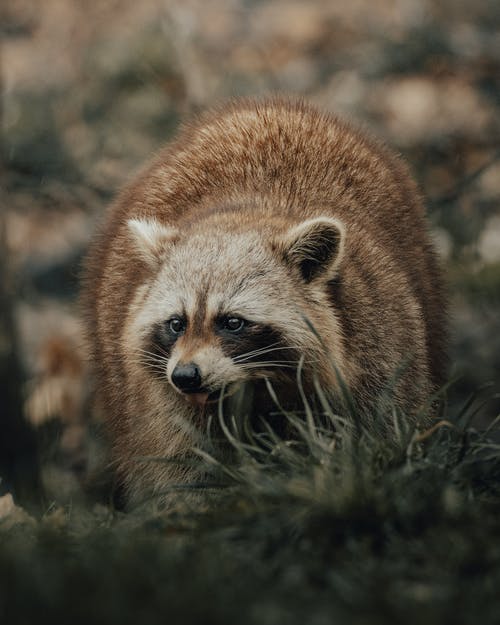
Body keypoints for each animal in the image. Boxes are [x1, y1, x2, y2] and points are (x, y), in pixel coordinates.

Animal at [82, 98, 446, 508]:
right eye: (176, 323)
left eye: (232, 322)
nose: (185, 376)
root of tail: (266, 108)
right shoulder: (159, 400)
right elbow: (180, 464)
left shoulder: (380, 340)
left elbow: (385, 427)